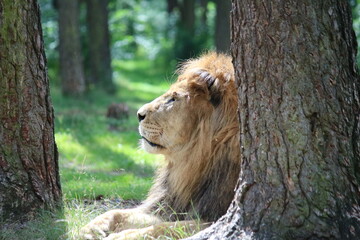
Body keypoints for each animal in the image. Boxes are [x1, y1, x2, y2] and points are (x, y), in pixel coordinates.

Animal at [80, 51, 240, 239]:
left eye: (173, 99)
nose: (138, 114)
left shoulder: (214, 217)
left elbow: (162, 228)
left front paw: (121, 236)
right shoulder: (168, 205)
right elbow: (116, 213)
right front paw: (88, 229)